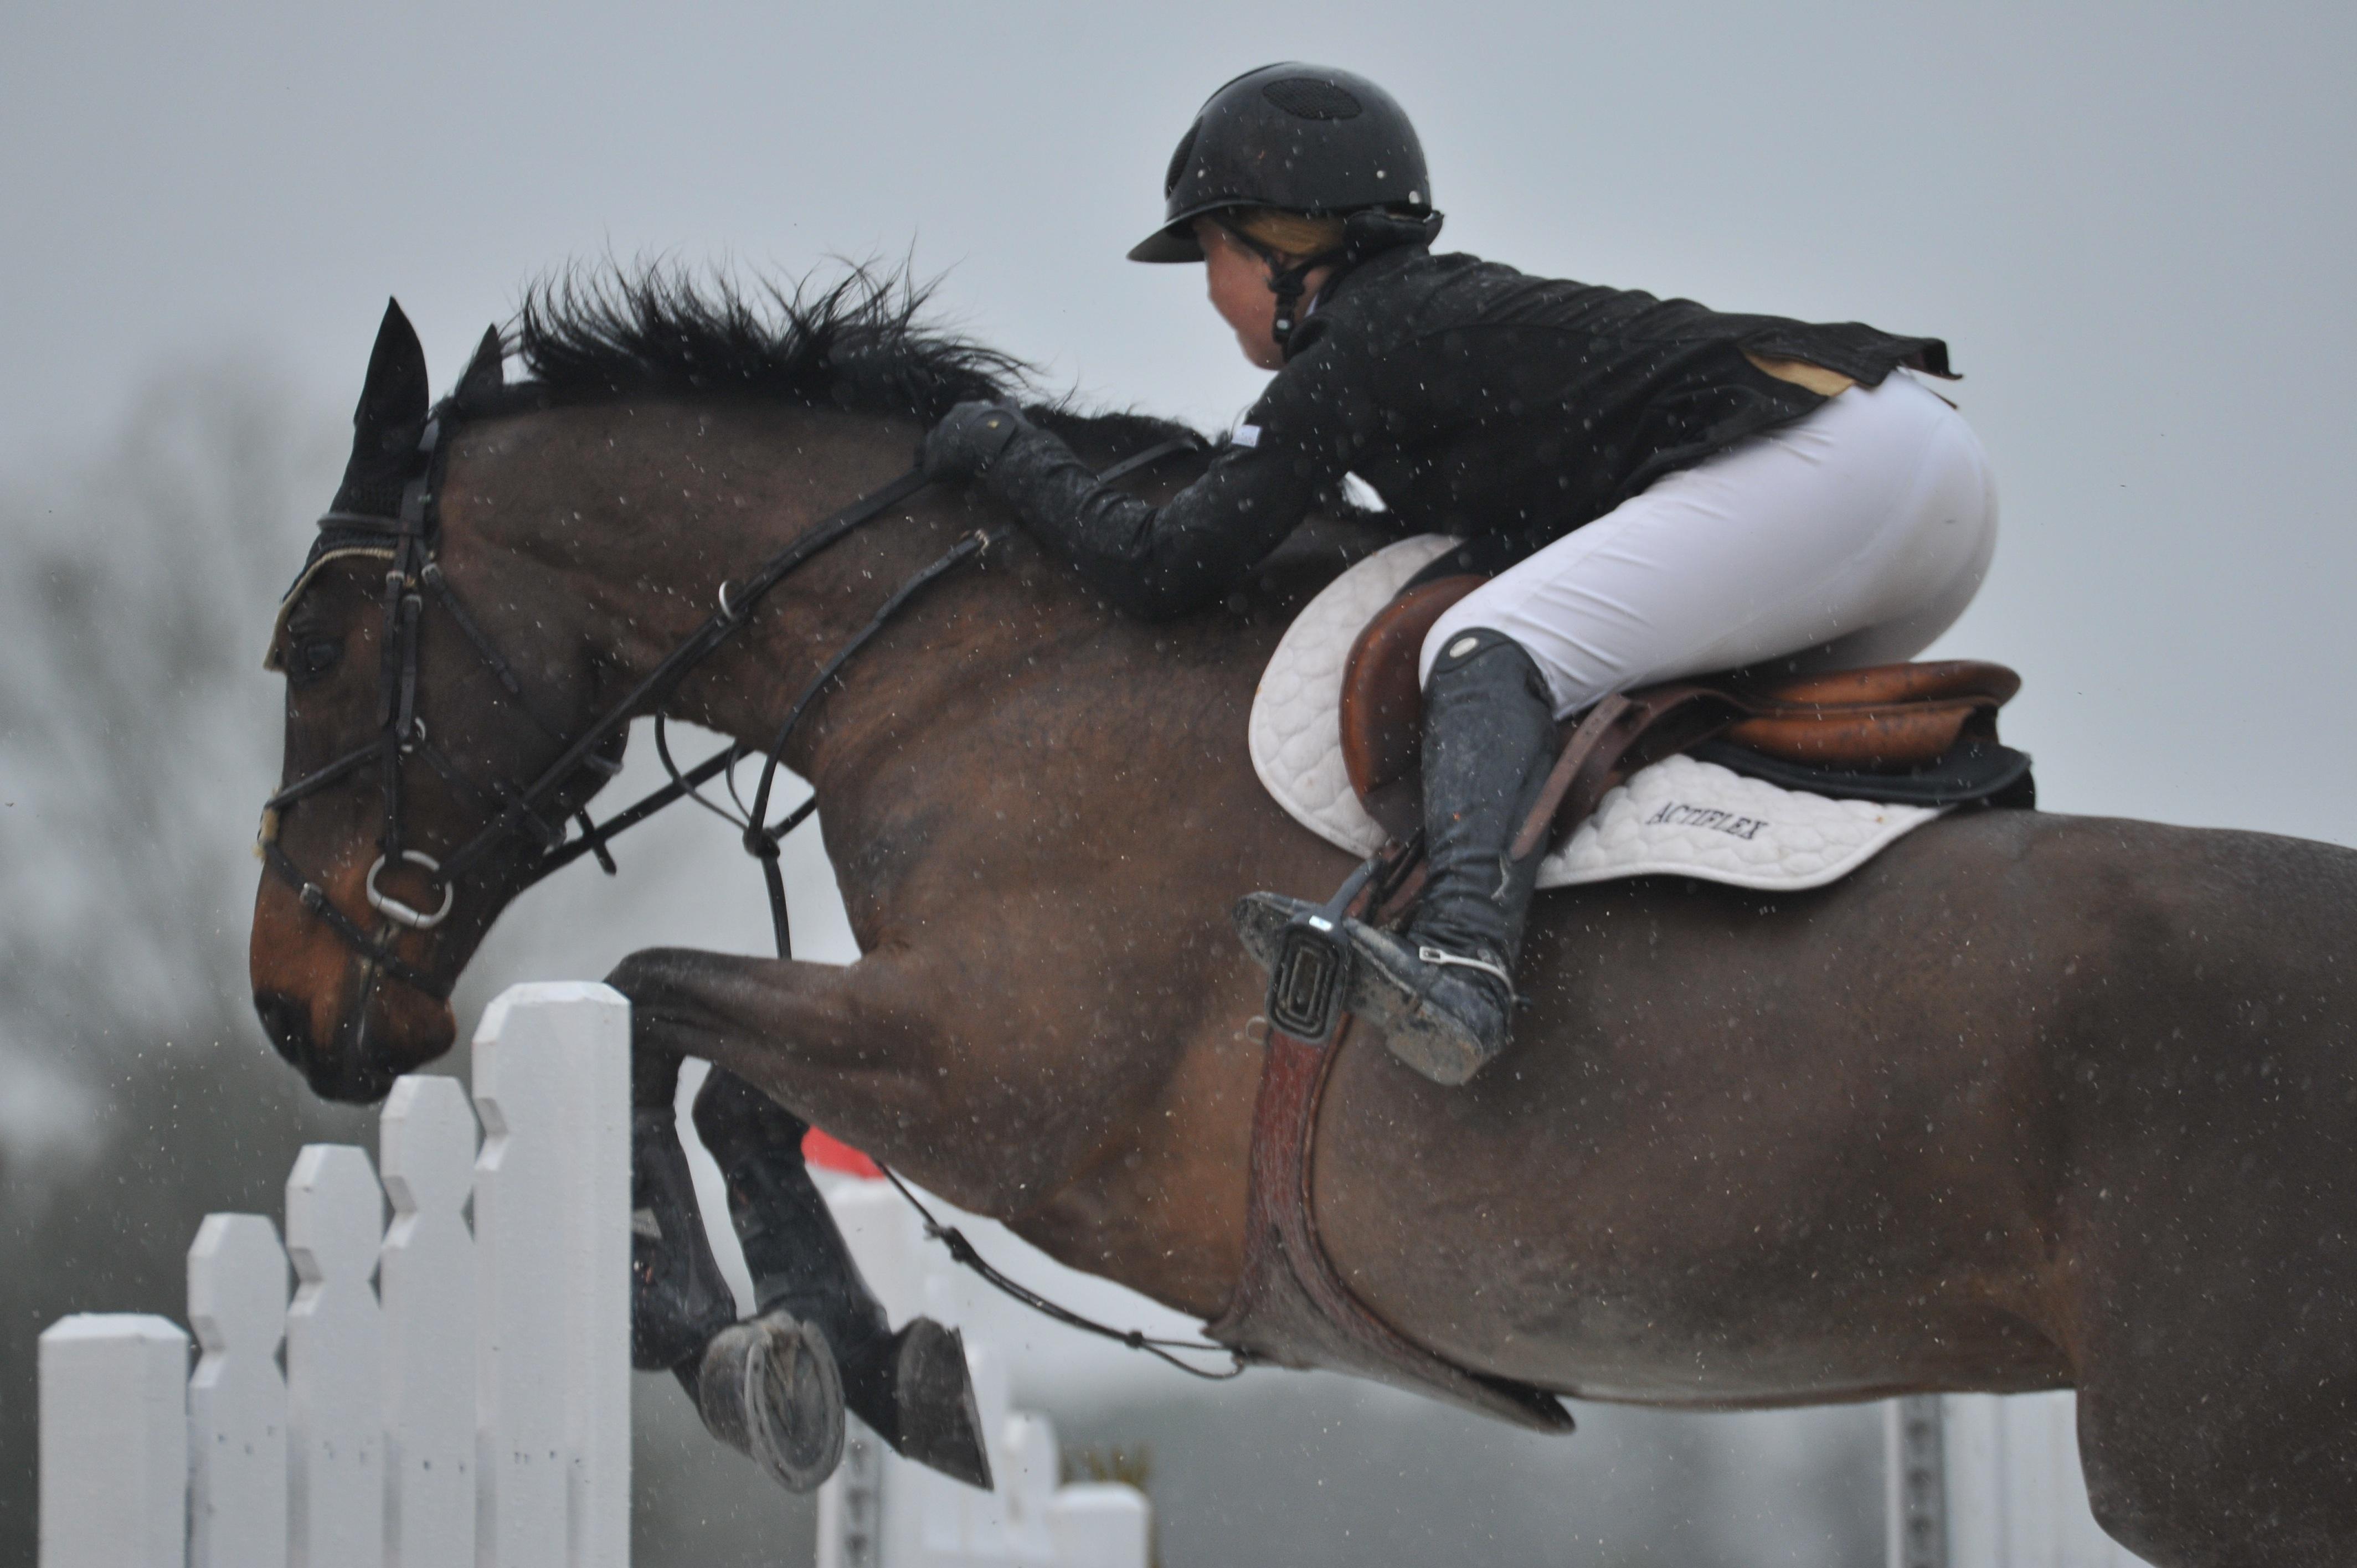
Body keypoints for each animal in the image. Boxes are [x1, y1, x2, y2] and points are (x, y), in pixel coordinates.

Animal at [247, 269, 2357, 1568]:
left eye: (313, 644)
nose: (290, 1006)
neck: (966, 663)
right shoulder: (950, 1056)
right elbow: (725, 1076)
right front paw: (864, 1362)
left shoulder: (1004, 1083)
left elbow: (659, 1005)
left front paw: (725, 1340)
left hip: (2212, 1462)